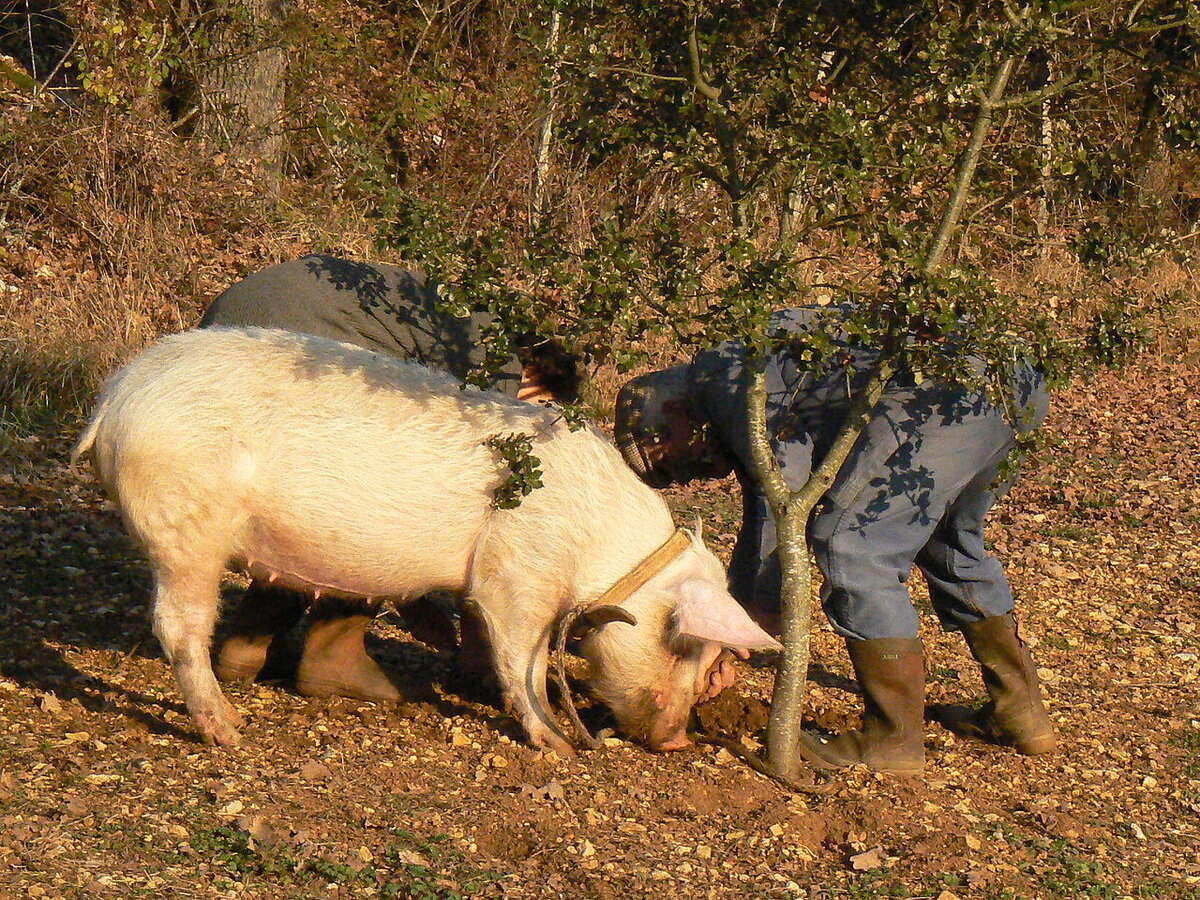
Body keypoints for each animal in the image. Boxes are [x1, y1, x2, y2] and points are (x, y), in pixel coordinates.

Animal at [75, 328, 777, 748]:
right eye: (684, 645)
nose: (678, 739)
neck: (604, 553)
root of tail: (114, 396)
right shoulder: (518, 572)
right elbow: (523, 656)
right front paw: (554, 744)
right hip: (184, 523)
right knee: (177, 625)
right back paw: (231, 730)